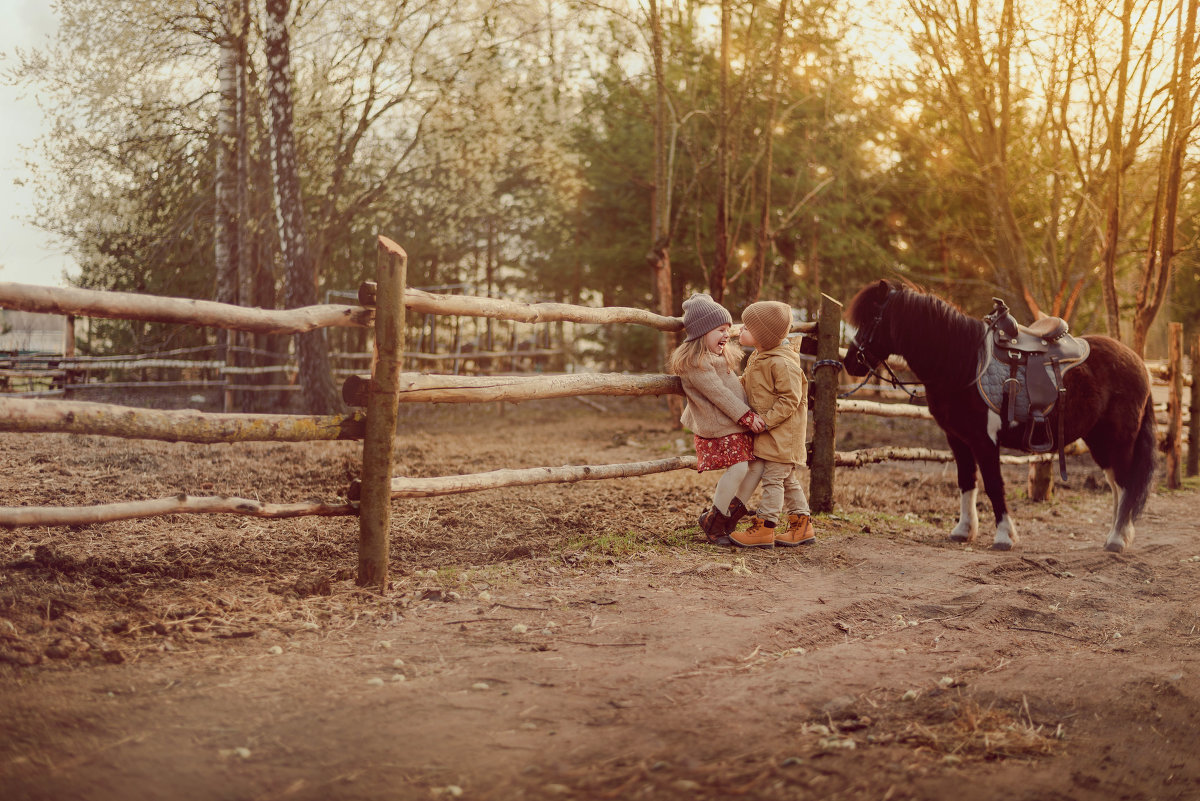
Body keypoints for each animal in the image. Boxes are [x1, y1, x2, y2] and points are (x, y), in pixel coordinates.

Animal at [840, 280, 1156, 551]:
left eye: (871, 319)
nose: (850, 362)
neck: (963, 363)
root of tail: (1139, 362)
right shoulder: (958, 439)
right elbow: (967, 482)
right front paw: (963, 531)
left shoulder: (985, 440)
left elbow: (993, 484)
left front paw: (1004, 536)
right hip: (1099, 440)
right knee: (1117, 485)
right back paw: (1118, 535)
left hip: (1117, 440)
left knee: (1125, 484)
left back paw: (1117, 538)